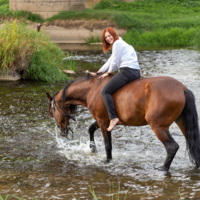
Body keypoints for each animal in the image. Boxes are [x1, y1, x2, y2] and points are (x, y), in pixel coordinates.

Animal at [46, 74, 200, 171]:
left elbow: (108, 145)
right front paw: (92, 148)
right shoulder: (104, 120)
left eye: (53, 110)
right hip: (182, 122)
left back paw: (163, 169)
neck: (92, 89)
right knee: (193, 145)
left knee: (171, 147)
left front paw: (107, 161)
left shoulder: (103, 121)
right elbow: (90, 129)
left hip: (158, 127)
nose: (61, 131)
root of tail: (182, 88)